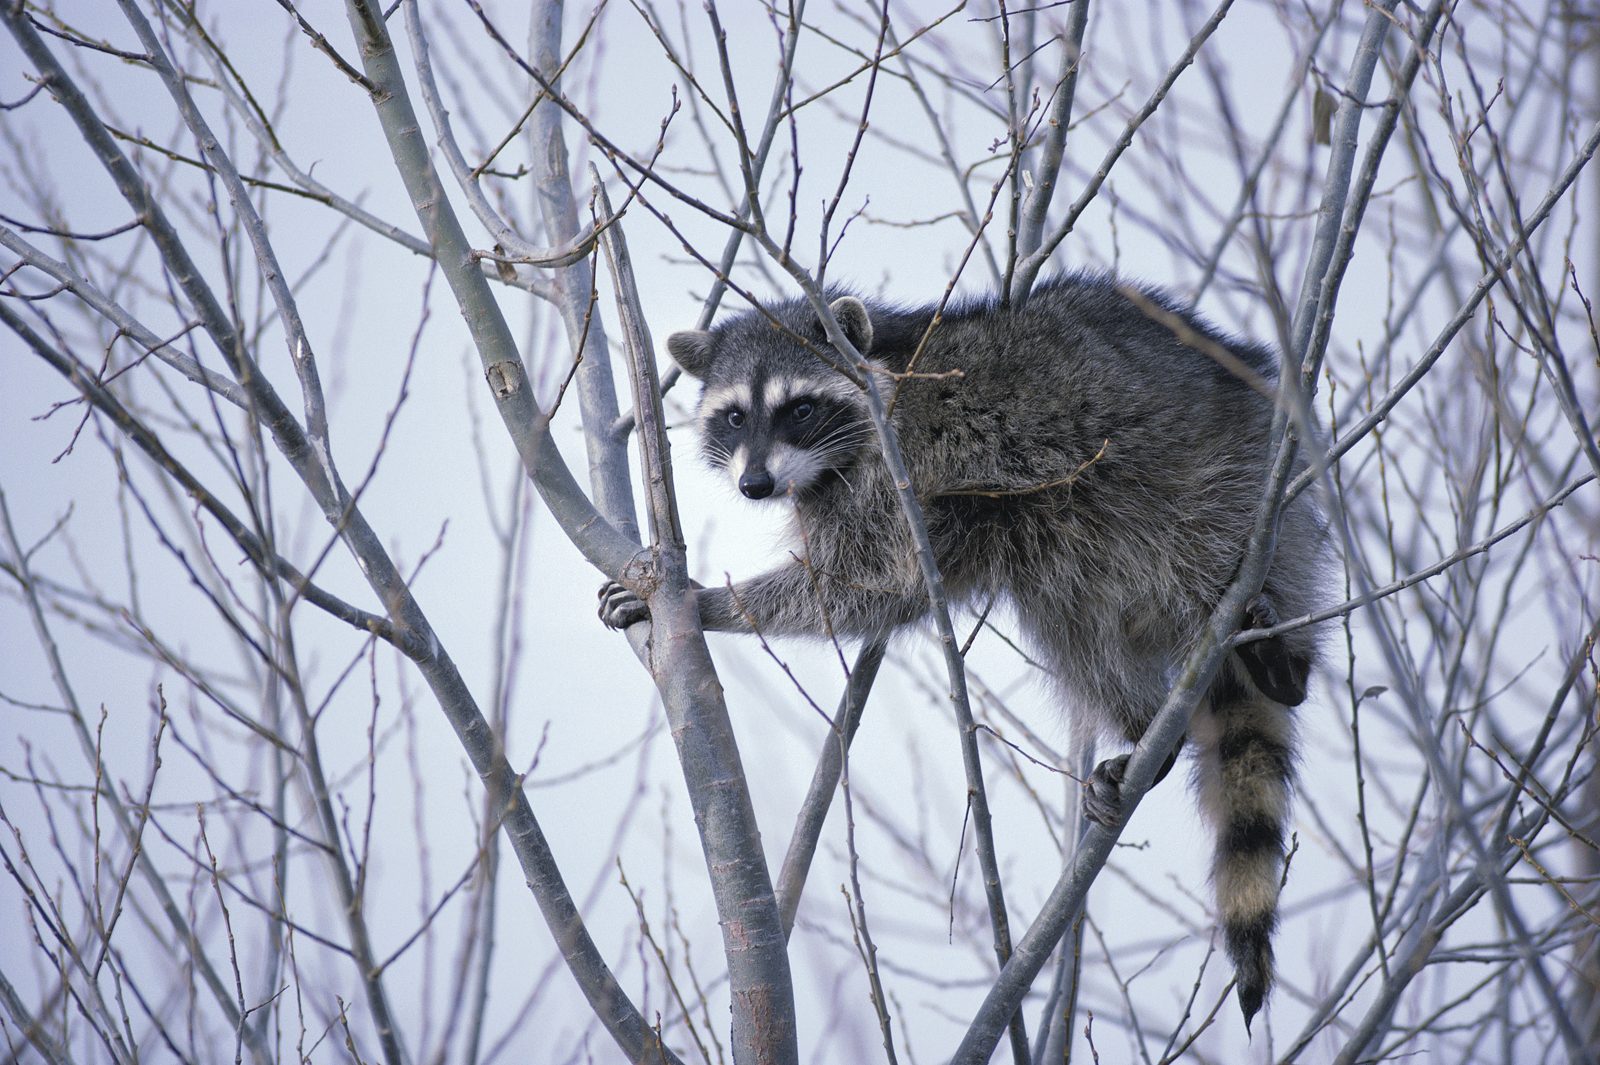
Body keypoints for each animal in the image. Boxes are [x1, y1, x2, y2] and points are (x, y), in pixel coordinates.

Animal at [599, 272, 1326, 1027]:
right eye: (736, 417)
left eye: (799, 408)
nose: (756, 485)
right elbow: (884, 592)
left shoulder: (902, 469)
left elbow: (864, 580)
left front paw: (709, 601)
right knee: (1069, 617)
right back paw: (1146, 724)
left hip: (1222, 485)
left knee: (1196, 554)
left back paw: (1283, 661)